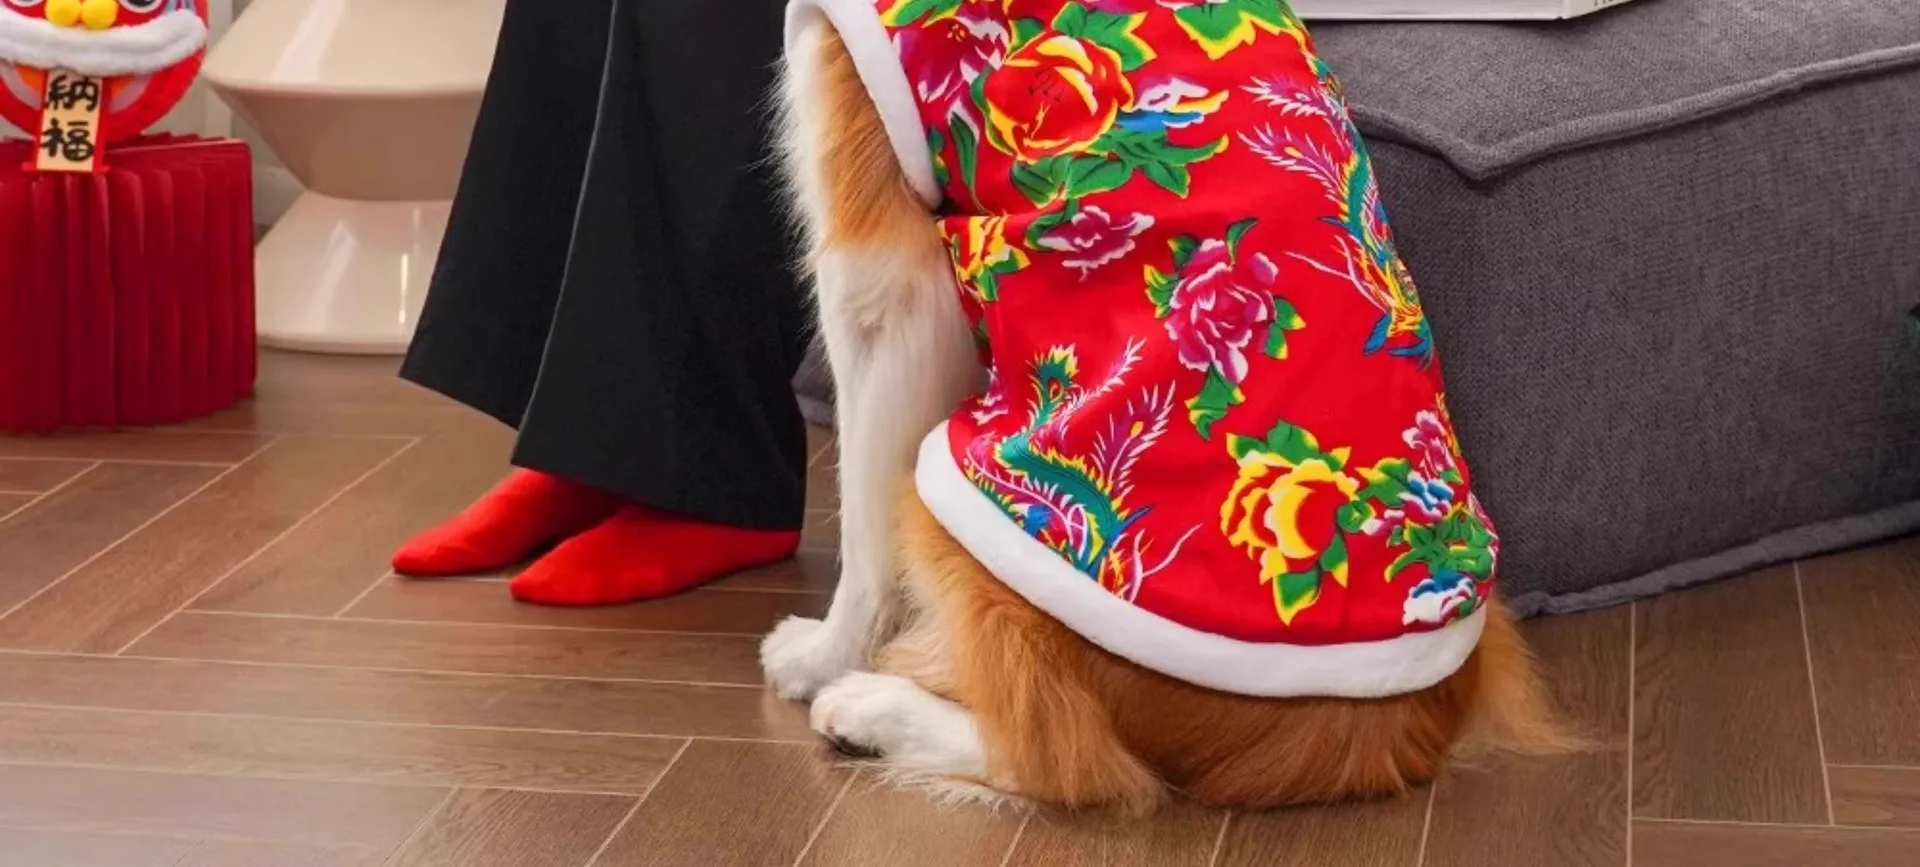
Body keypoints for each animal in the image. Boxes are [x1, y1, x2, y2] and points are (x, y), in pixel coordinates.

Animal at [763, 0, 1572, 812]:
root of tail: (1380, 739)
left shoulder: (886, 279)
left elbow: (862, 521)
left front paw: (823, 656)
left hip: (979, 500)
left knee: (1066, 753)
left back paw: (868, 708)